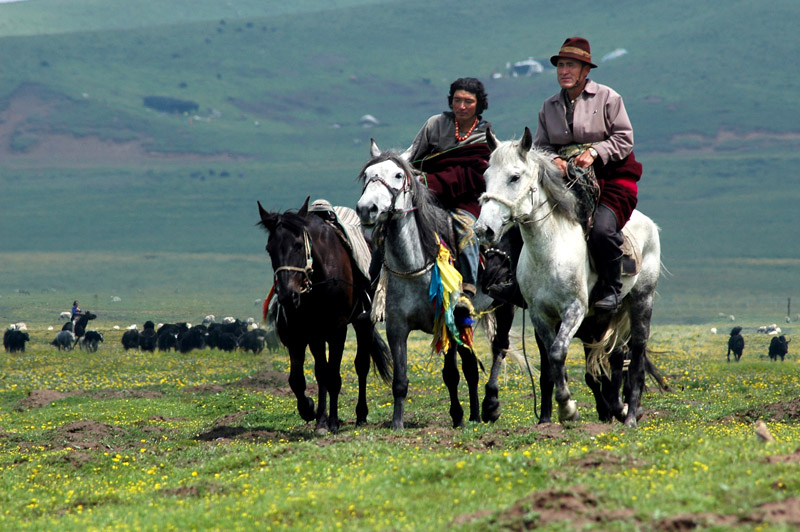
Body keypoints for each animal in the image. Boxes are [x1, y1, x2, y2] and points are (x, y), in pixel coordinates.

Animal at [258, 197, 392, 434]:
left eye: (298, 245)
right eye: (269, 248)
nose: (287, 295)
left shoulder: (337, 330)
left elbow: (334, 376)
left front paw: (333, 422)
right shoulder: (304, 334)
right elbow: (302, 378)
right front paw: (313, 413)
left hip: (362, 324)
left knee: (361, 365)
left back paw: (360, 414)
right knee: (322, 372)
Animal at [476, 128, 664, 428]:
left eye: (514, 177)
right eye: (486, 176)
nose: (484, 229)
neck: (551, 250)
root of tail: (648, 224)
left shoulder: (574, 310)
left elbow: (557, 353)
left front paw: (568, 408)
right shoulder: (541, 315)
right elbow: (550, 365)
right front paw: (550, 416)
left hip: (641, 301)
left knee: (635, 358)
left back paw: (630, 416)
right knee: (614, 357)